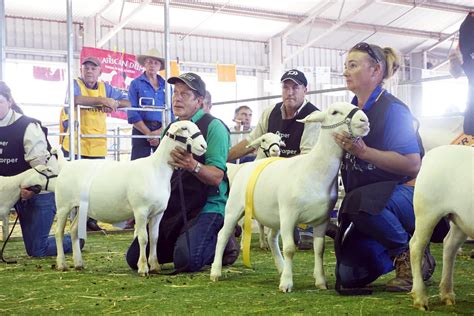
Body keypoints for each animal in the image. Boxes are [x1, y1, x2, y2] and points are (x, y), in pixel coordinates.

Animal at [53, 121, 206, 276]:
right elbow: (143, 239)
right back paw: (62, 264)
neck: (157, 168)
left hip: (81, 207)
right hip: (63, 205)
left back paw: (78, 263)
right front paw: (143, 268)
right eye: (184, 128)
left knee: (73, 230)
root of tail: (66, 165)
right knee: (59, 232)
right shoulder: (140, 210)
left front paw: (155, 266)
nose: (203, 146)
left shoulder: (158, 213)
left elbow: (154, 238)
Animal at [211, 102, 370, 292]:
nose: (364, 120)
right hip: (235, 208)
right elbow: (289, 249)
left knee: (272, 239)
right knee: (222, 235)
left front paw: (320, 281)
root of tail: (246, 166)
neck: (314, 169)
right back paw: (215, 272)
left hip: (274, 215)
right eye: (334, 112)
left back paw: (280, 267)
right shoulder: (289, 214)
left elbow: (319, 249)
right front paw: (287, 283)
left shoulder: (322, 219)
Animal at [410, 145, 472, 312]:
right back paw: (420, 298)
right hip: (426, 211)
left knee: (450, 245)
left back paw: (447, 295)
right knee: (416, 246)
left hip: (460, 219)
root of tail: (431, 154)